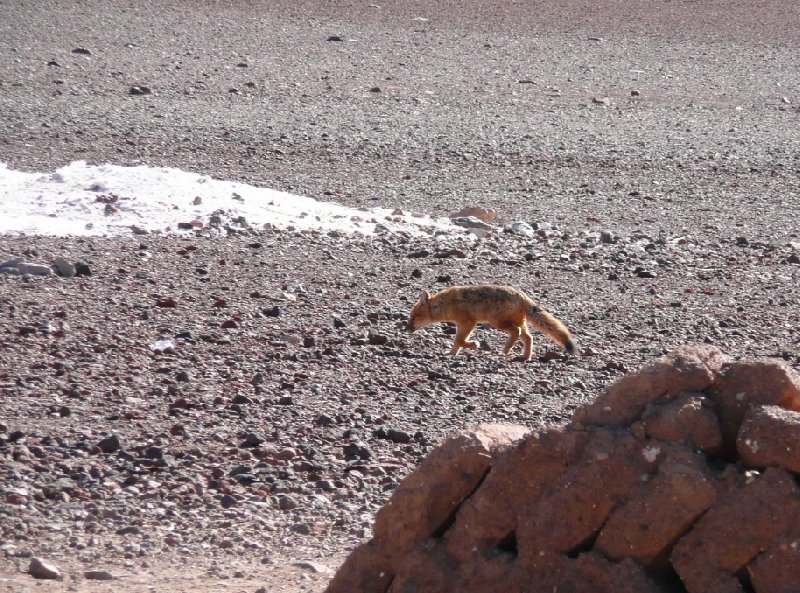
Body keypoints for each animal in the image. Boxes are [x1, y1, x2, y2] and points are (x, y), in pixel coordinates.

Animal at [406, 284, 576, 358]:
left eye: (413, 317)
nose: (406, 329)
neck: (445, 303)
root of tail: (520, 295)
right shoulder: (462, 324)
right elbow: (457, 342)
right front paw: (451, 353)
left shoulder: (468, 322)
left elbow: (460, 340)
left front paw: (474, 345)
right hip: (518, 323)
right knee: (528, 337)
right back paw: (525, 356)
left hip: (497, 322)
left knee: (517, 332)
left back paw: (505, 350)